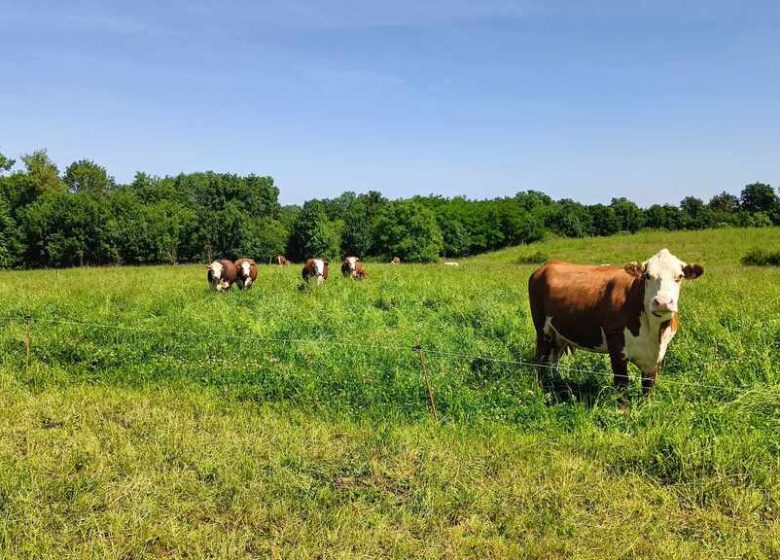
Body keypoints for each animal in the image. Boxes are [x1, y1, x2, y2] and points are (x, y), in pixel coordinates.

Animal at [528, 247, 704, 404]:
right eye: (647, 276)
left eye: (679, 276)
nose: (663, 302)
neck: (653, 332)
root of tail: (546, 265)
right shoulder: (616, 345)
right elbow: (621, 381)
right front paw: (623, 409)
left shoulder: (656, 355)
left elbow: (648, 384)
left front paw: (646, 406)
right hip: (542, 330)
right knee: (540, 359)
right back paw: (541, 389)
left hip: (559, 335)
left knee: (553, 360)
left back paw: (555, 384)